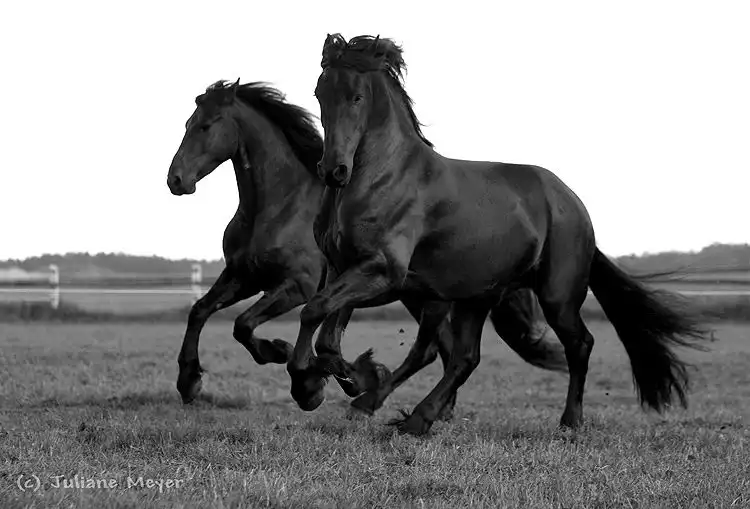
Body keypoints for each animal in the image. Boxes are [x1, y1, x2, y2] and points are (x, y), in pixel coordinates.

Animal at [166, 79, 568, 417]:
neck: (278, 207)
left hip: (431, 300)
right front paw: (189, 382)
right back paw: (432, 410)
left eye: (206, 125)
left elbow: (245, 323)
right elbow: (201, 311)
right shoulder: (242, 276)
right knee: (444, 350)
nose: (176, 180)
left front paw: (295, 365)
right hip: (417, 297)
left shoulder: (297, 287)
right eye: (187, 123)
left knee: (438, 350)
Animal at [285, 34, 708, 436]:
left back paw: (569, 422)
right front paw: (342, 379)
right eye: (320, 93)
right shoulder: (345, 266)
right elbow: (327, 331)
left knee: (578, 344)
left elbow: (315, 311)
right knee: (464, 358)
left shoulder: (383, 272)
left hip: (556, 295)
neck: (382, 177)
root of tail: (572, 203)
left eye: (357, 96)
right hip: (476, 297)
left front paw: (319, 384)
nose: (333, 170)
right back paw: (415, 420)